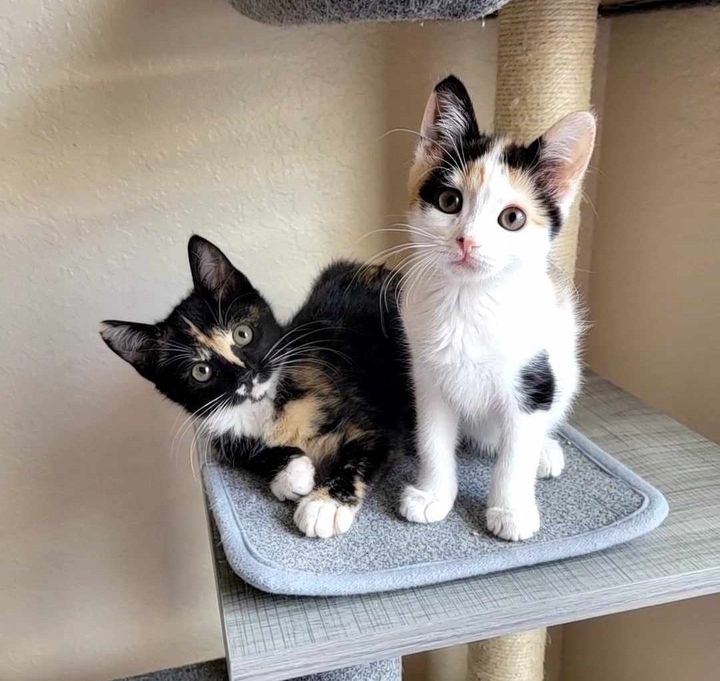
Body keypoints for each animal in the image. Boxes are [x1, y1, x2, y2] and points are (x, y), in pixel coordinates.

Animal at [102, 235, 416, 536]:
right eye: (201, 371)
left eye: (243, 334)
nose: (247, 376)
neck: (264, 403)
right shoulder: (218, 432)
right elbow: (246, 451)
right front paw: (291, 474)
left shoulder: (370, 417)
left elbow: (364, 452)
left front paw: (324, 505)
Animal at [396, 75, 592, 540]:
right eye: (449, 201)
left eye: (512, 219)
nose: (467, 241)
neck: (469, 302)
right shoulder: (428, 377)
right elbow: (434, 439)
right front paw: (433, 495)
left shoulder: (534, 379)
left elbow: (516, 452)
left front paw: (511, 510)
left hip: (566, 371)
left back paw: (545, 452)